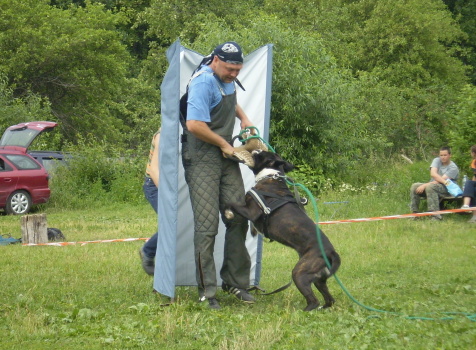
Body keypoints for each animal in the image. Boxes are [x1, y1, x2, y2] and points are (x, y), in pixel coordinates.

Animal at [225, 150, 340, 312]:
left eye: (261, 155)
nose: (256, 150)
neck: (270, 176)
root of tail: (331, 252)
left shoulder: (251, 211)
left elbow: (232, 203)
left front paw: (227, 211)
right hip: (318, 279)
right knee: (329, 299)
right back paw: (322, 308)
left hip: (299, 274)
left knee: (313, 300)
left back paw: (304, 311)